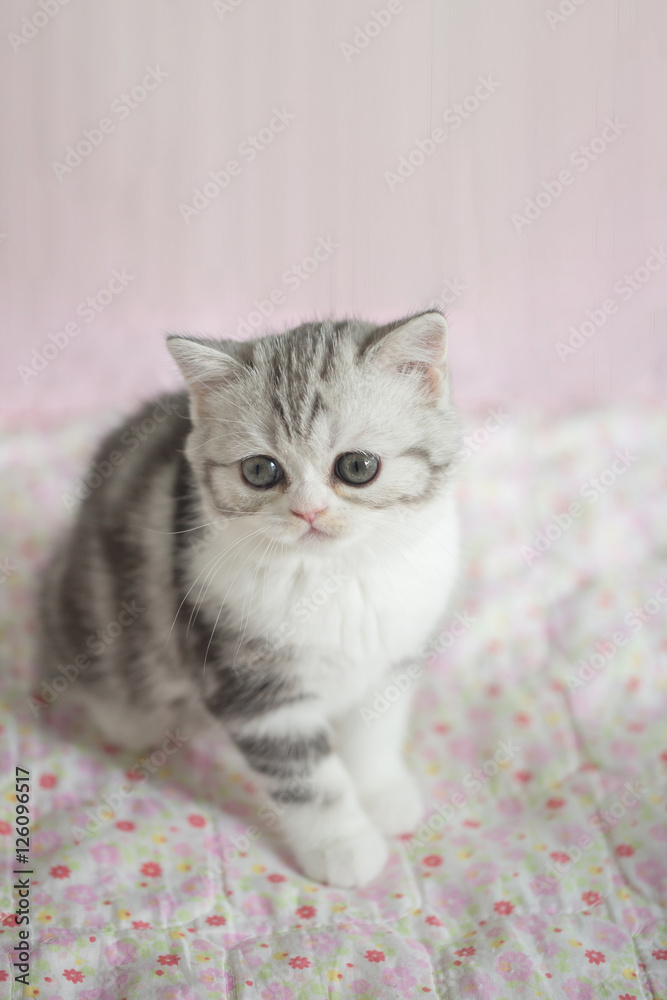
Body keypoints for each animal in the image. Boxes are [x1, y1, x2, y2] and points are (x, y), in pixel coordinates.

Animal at [40, 310, 460, 884]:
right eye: (260, 471)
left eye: (357, 466)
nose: (309, 512)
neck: (335, 576)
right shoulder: (247, 679)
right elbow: (306, 773)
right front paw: (344, 846)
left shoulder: (392, 653)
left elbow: (374, 732)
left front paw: (382, 795)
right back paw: (130, 720)